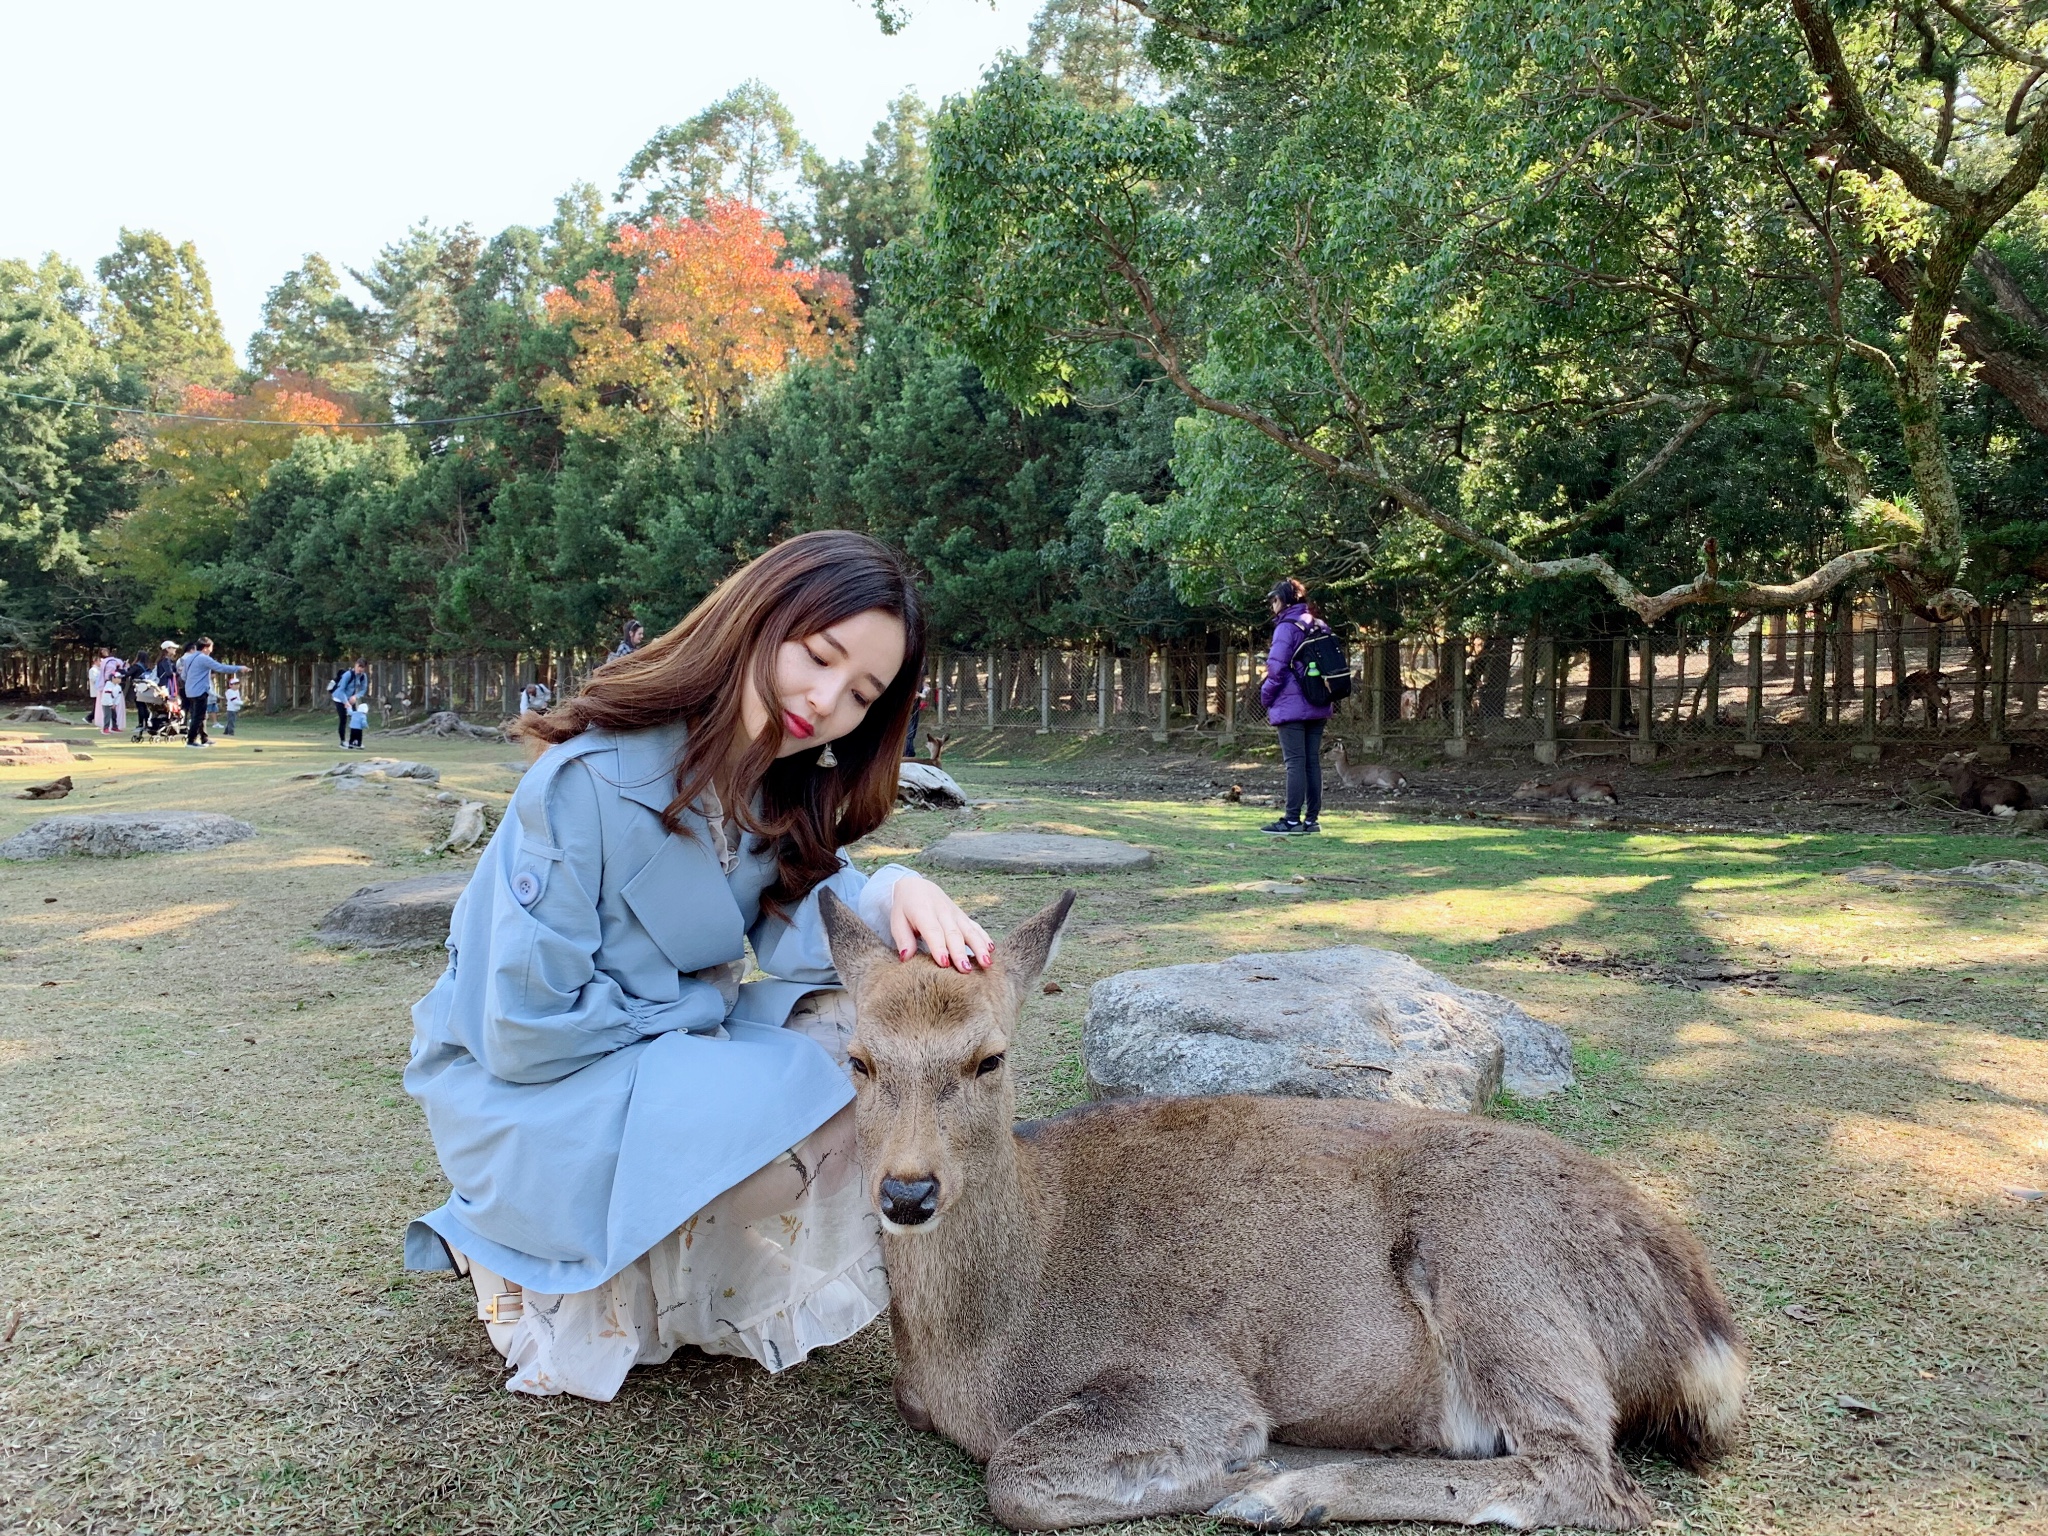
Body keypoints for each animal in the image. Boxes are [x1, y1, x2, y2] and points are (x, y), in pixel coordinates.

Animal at [815, 897, 1744, 1531]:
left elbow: (1015, 1479)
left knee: (1587, 1475)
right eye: (857, 1059)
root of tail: (1705, 1333)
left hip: (1499, 1262)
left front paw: (1243, 1467)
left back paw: (1287, 1490)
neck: (981, 1354)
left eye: (991, 1058)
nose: (907, 1193)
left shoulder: (1185, 1377)